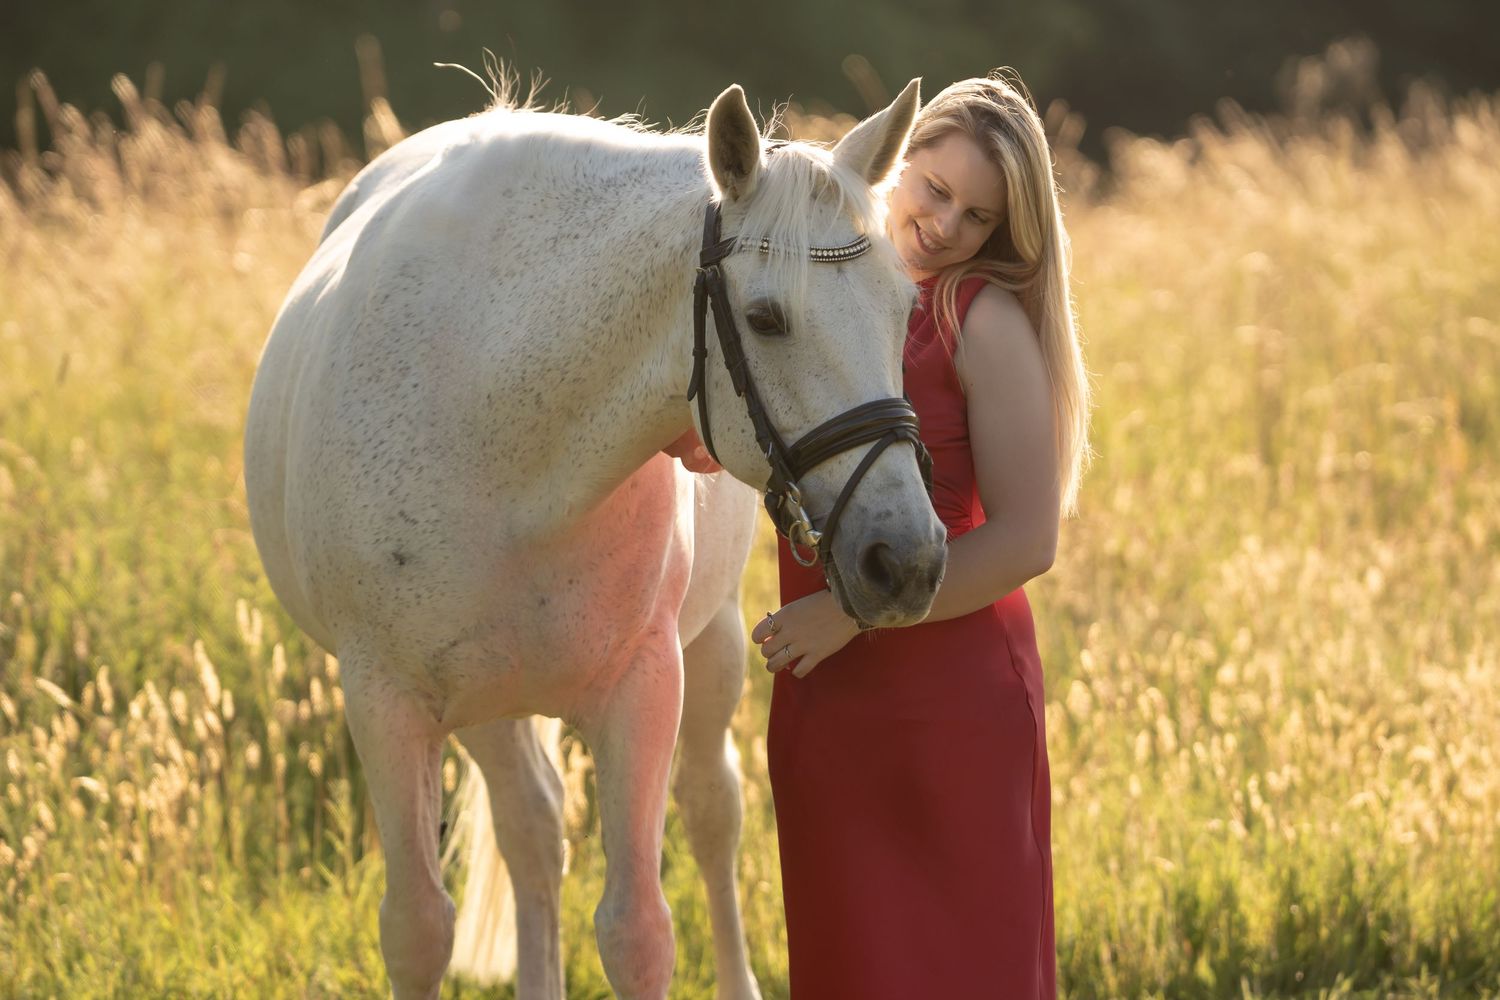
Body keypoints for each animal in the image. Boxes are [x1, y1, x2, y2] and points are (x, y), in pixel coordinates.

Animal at [243, 79, 946, 1000]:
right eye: (765, 318)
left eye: (904, 309)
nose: (907, 559)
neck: (494, 424)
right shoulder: (385, 699)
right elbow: (418, 929)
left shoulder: (644, 686)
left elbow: (637, 930)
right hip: (487, 704)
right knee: (533, 836)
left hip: (711, 643)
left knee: (710, 811)